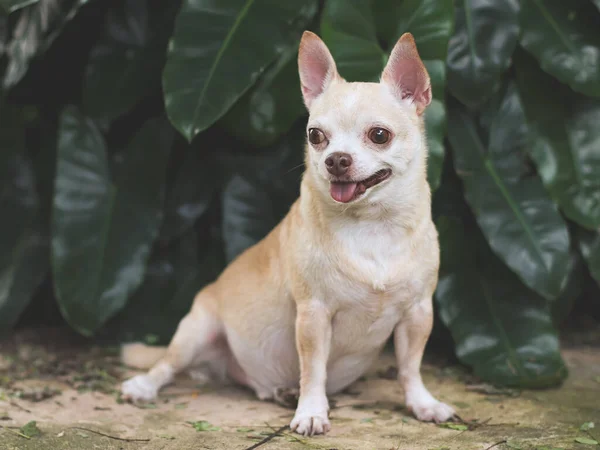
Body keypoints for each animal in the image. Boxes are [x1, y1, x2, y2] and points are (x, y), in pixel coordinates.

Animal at [124, 30, 458, 436]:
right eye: (316, 136)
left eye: (379, 135)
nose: (336, 159)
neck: (370, 225)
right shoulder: (313, 314)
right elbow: (313, 369)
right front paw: (312, 411)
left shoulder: (417, 313)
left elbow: (410, 367)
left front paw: (422, 404)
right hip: (196, 331)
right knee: (166, 365)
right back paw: (143, 386)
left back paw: (281, 392)